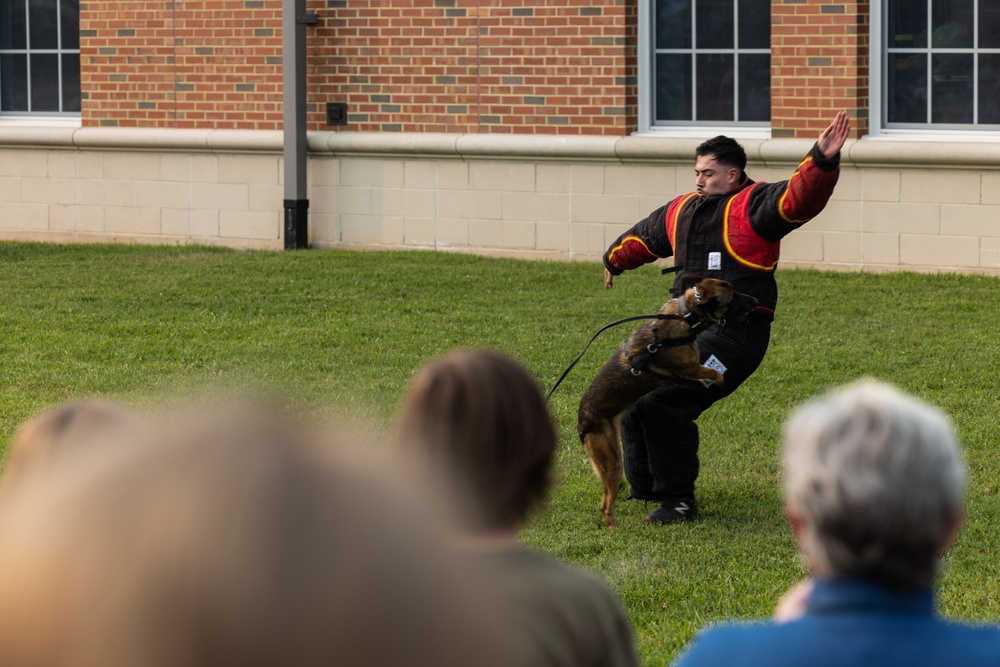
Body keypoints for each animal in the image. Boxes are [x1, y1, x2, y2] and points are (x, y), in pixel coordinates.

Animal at [580, 276, 756, 528]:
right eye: (733, 298)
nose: (756, 300)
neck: (685, 313)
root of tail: (582, 421)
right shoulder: (690, 368)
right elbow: (712, 371)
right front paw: (719, 379)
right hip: (612, 462)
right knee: (605, 505)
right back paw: (615, 528)